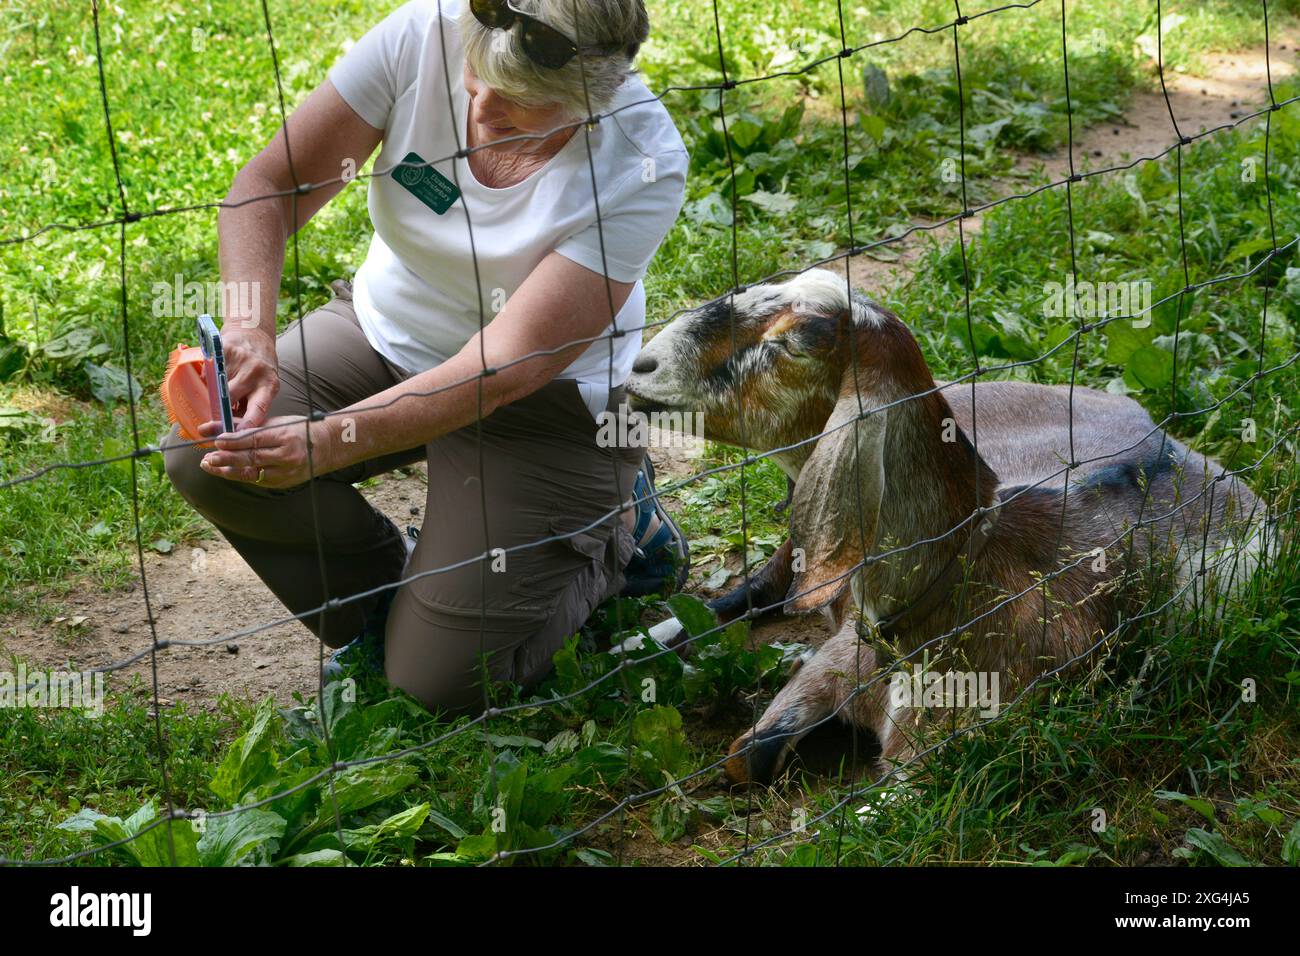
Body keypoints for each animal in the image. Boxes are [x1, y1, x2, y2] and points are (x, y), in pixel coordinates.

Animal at [624, 267, 1274, 785]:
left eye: (793, 342)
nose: (641, 365)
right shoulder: (837, 660)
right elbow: (748, 755)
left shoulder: (942, 757)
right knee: (755, 587)